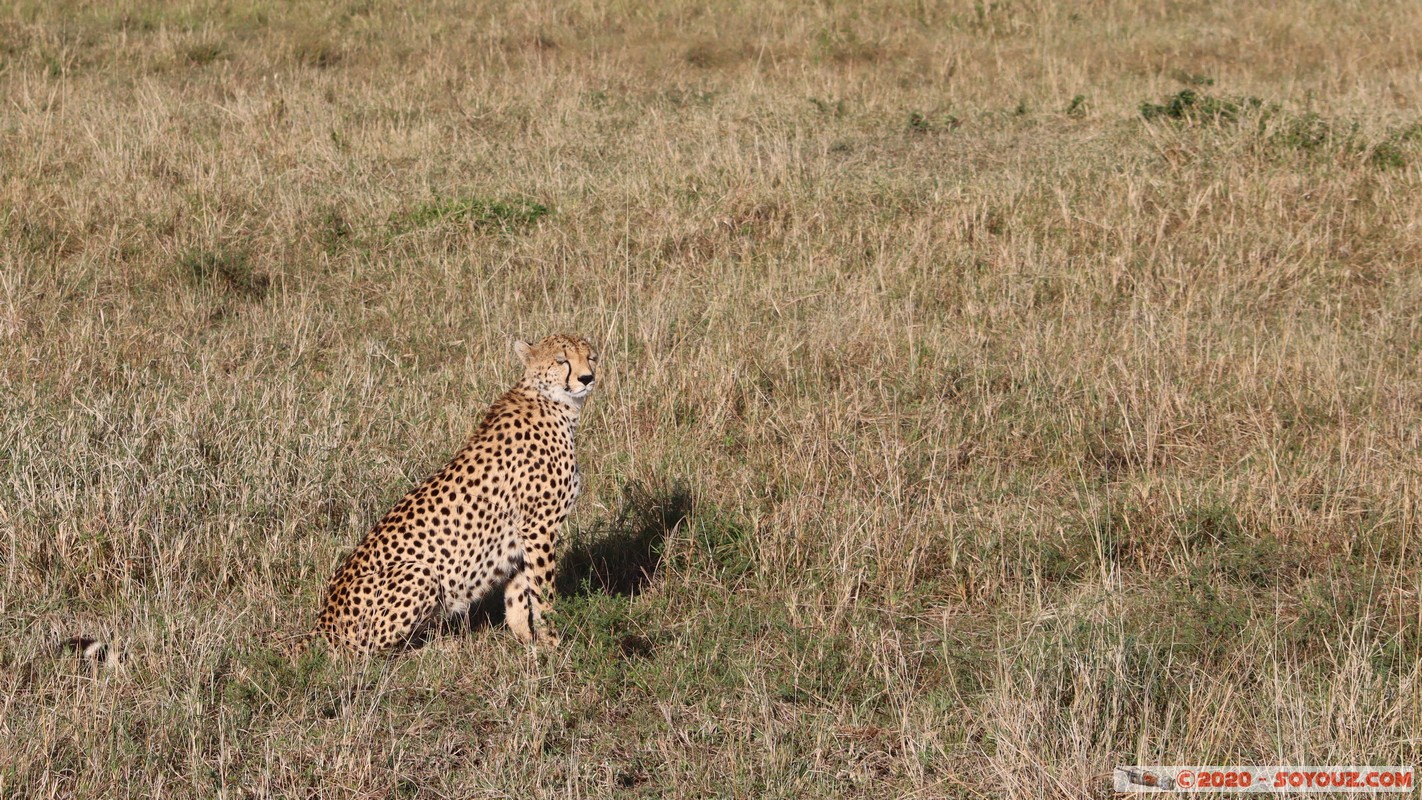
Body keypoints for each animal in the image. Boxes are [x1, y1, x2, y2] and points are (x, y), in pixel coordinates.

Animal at [311, 335, 600, 653]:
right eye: (562, 360)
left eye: (591, 357)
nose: (587, 378)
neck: (553, 402)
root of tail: (321, 623)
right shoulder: (539, 526)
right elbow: (542, 591)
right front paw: (554, 642)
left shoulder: (518, 536)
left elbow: (517, 596)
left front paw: (527, 642)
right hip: (420, 574)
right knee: (366, 652)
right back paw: (435, 647)